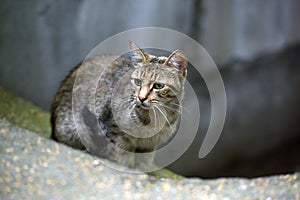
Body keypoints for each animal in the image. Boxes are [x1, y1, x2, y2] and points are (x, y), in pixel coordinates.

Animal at [51, 41, 188, 170]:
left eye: (159, 86)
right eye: (137, 82)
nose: (141, 98)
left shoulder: (149, 146)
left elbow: (143, 163)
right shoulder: (115, 134)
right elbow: (118, 158)